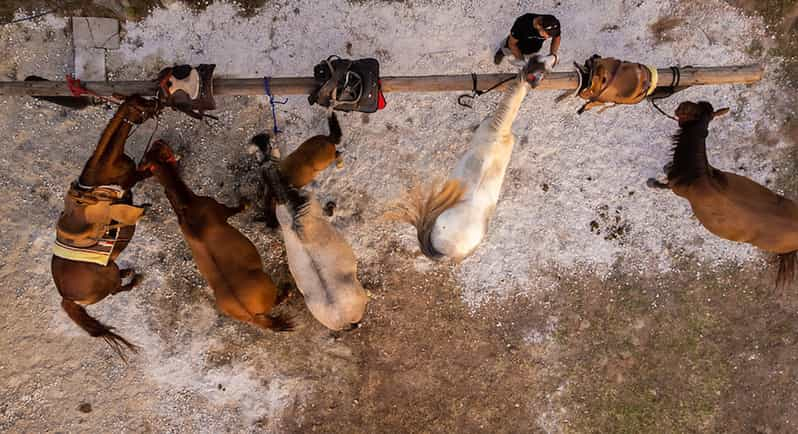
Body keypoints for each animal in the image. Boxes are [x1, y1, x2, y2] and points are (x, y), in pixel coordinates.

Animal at [51, 96, 161, 358]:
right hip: (107, 279)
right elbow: (146, 172)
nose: (158, 103)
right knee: (117, 290)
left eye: (143, 98)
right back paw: (134, 279)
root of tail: (65, 297)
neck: (103, 166)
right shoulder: (133, 179)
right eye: (142, 107)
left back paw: (128, 272)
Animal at [139, 141, 296, 330]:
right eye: (163, 150)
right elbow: (235, 209)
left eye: (154, 149)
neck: (184, 206)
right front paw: (245, 203)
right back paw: (286, 293)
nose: (160, 140)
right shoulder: (216, 207)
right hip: (265, 283)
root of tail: (250, 314)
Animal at [648, 100, 798, 286]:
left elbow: (660, 185)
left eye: (690, 112)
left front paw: (652, 182)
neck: (695, 172)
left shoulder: (675, 187)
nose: (681, 105)